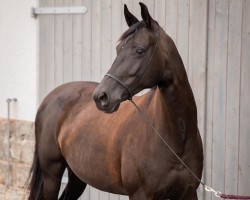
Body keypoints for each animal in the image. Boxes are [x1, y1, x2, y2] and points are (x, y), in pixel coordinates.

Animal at [28, 3, 203, 200]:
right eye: (118, 49)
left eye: (139, 50)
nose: (101, 97)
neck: (176, 140)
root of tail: (50, 98)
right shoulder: (140, 194)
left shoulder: (188, 193)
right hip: (52, 175)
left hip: (77, 176)